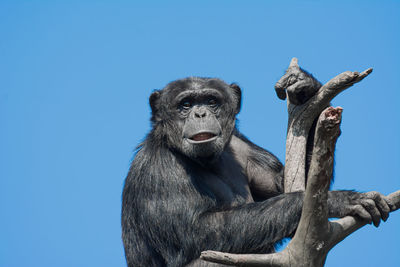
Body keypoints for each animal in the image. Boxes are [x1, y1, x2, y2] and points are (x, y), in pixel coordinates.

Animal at [121, 68, 390, 266]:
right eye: (185, 105)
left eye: (211, 100)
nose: (200, 113)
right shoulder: (158, 170)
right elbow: (197, 230)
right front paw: (340, 199)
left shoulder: (244, 148)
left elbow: (293, 190)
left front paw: (304, 87)